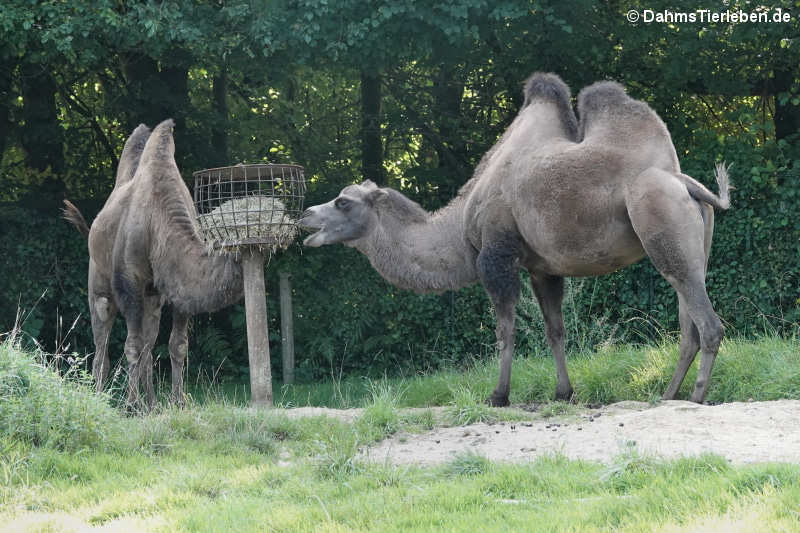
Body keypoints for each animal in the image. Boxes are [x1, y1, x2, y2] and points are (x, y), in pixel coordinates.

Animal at [63, 118, 241, 408]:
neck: (159, 217)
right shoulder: (129, 283)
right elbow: (132, 345)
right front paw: (131, 405)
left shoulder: (176, 286)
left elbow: (177, 345)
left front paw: (178, 402)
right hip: (99, 288)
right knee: (102, 345)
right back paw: (103, 397)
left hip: (153, 300)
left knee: (148, 343)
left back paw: (152, 403)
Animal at [298, 74, 732, 404]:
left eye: (342, 202)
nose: (305, 215)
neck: (460, 228)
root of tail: (684, 182)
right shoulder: (543, 268)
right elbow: (554, 330)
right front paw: (564, 393)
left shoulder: (496, 254)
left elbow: (504, 329)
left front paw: (498, 394)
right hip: (690, 246)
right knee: (689, 325)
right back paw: (668, 396)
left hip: (660, 217)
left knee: (708, 324)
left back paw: (696, 398)